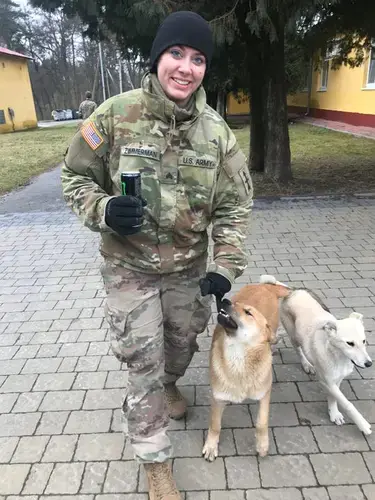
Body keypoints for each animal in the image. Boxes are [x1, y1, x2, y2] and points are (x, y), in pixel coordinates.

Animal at [204, 278, 290, 460]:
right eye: (235, 304)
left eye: (248, 313)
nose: (226, 301)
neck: (239, 357)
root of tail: (265, 286)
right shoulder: (217, 398)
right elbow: (215, 425)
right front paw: (211, 445)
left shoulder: (265, 393)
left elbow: (262, 422)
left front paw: (262, 444)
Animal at [262, 276, 374, 436]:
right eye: (350, 343)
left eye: (364, 341)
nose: (369, 364)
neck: (337, 355)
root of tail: (293, 290)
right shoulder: (326, 380)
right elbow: (347, 403)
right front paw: (362, 424)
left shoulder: (336, 379)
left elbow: (334, 398)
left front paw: (334, 413)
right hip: (294, 333)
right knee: (298, 349)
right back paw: (306, 364)